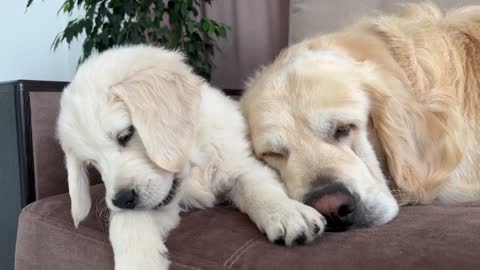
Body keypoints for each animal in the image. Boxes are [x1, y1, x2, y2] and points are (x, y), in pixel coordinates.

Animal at [57, 45, 326, 268]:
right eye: (92, 163)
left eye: (126, 134)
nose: (122, 199)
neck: (195, 161)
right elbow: (127, 222)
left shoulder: (243, 164)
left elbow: (258, 188)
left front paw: (287, 212)